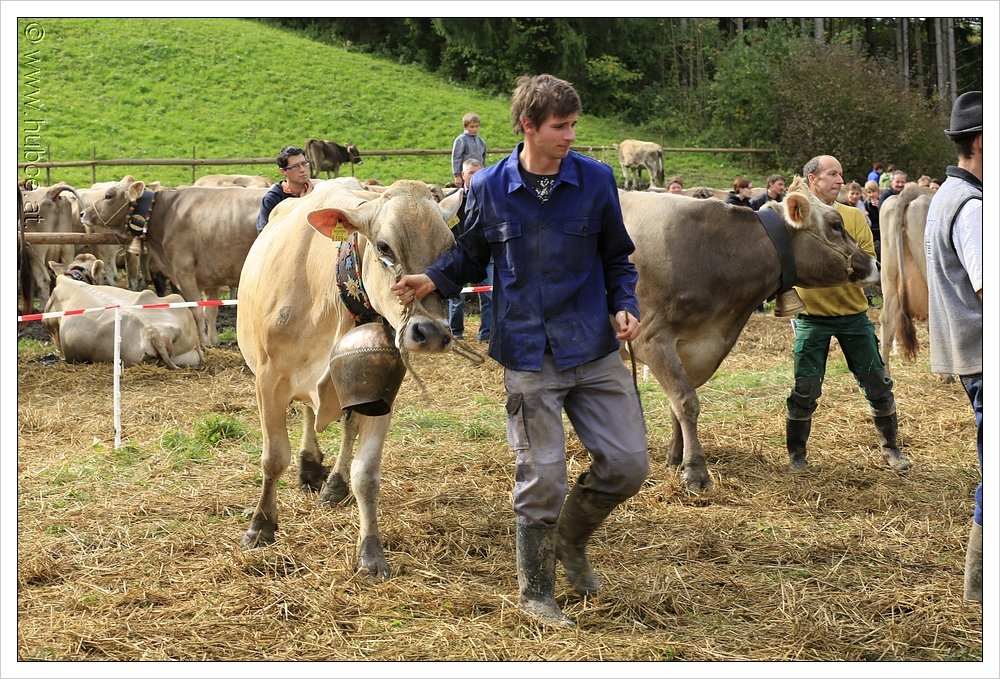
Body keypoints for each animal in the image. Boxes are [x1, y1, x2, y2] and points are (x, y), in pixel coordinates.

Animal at [80, 177, 267, 346]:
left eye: (109, 195)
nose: (83, 213)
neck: (165, 213)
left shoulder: (183, 272)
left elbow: (196, 310)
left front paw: (203, 342)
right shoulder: (211, 277)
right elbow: (210, 311)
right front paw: (213, 342)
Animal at [236, 178, 464, 578]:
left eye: (449, 249)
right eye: (385, 246)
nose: (432, 333)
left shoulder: (382, 390)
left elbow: (366, 473)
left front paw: (370, 551)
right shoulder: (268, 379)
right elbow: (273, 457)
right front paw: (261, 526)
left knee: (341, 425)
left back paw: (330, 481)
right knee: (309, 413)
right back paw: (310, 465)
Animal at [619, 178, 880, 494]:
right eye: (836, 225)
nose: (875, 265)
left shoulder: (694, 348)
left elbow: (676, 405)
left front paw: (675, 458)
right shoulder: (651, 339)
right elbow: (686, 401)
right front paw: (695, 470)